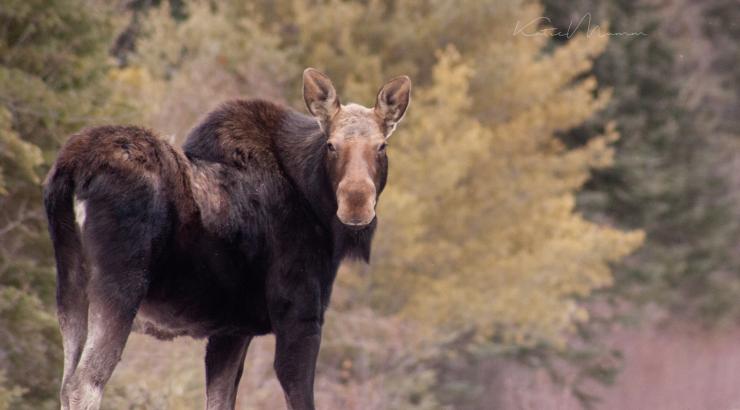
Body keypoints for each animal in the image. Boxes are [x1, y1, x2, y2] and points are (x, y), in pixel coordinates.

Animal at [44, 69, 414, 408]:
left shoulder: (232, 330)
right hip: (120, 288)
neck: (316, 206)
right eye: (331, 145)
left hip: (70, 289)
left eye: (381, 146)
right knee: (85, 383)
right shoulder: (300, 316)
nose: (356, 202)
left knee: (65, 381)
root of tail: (72, 168)